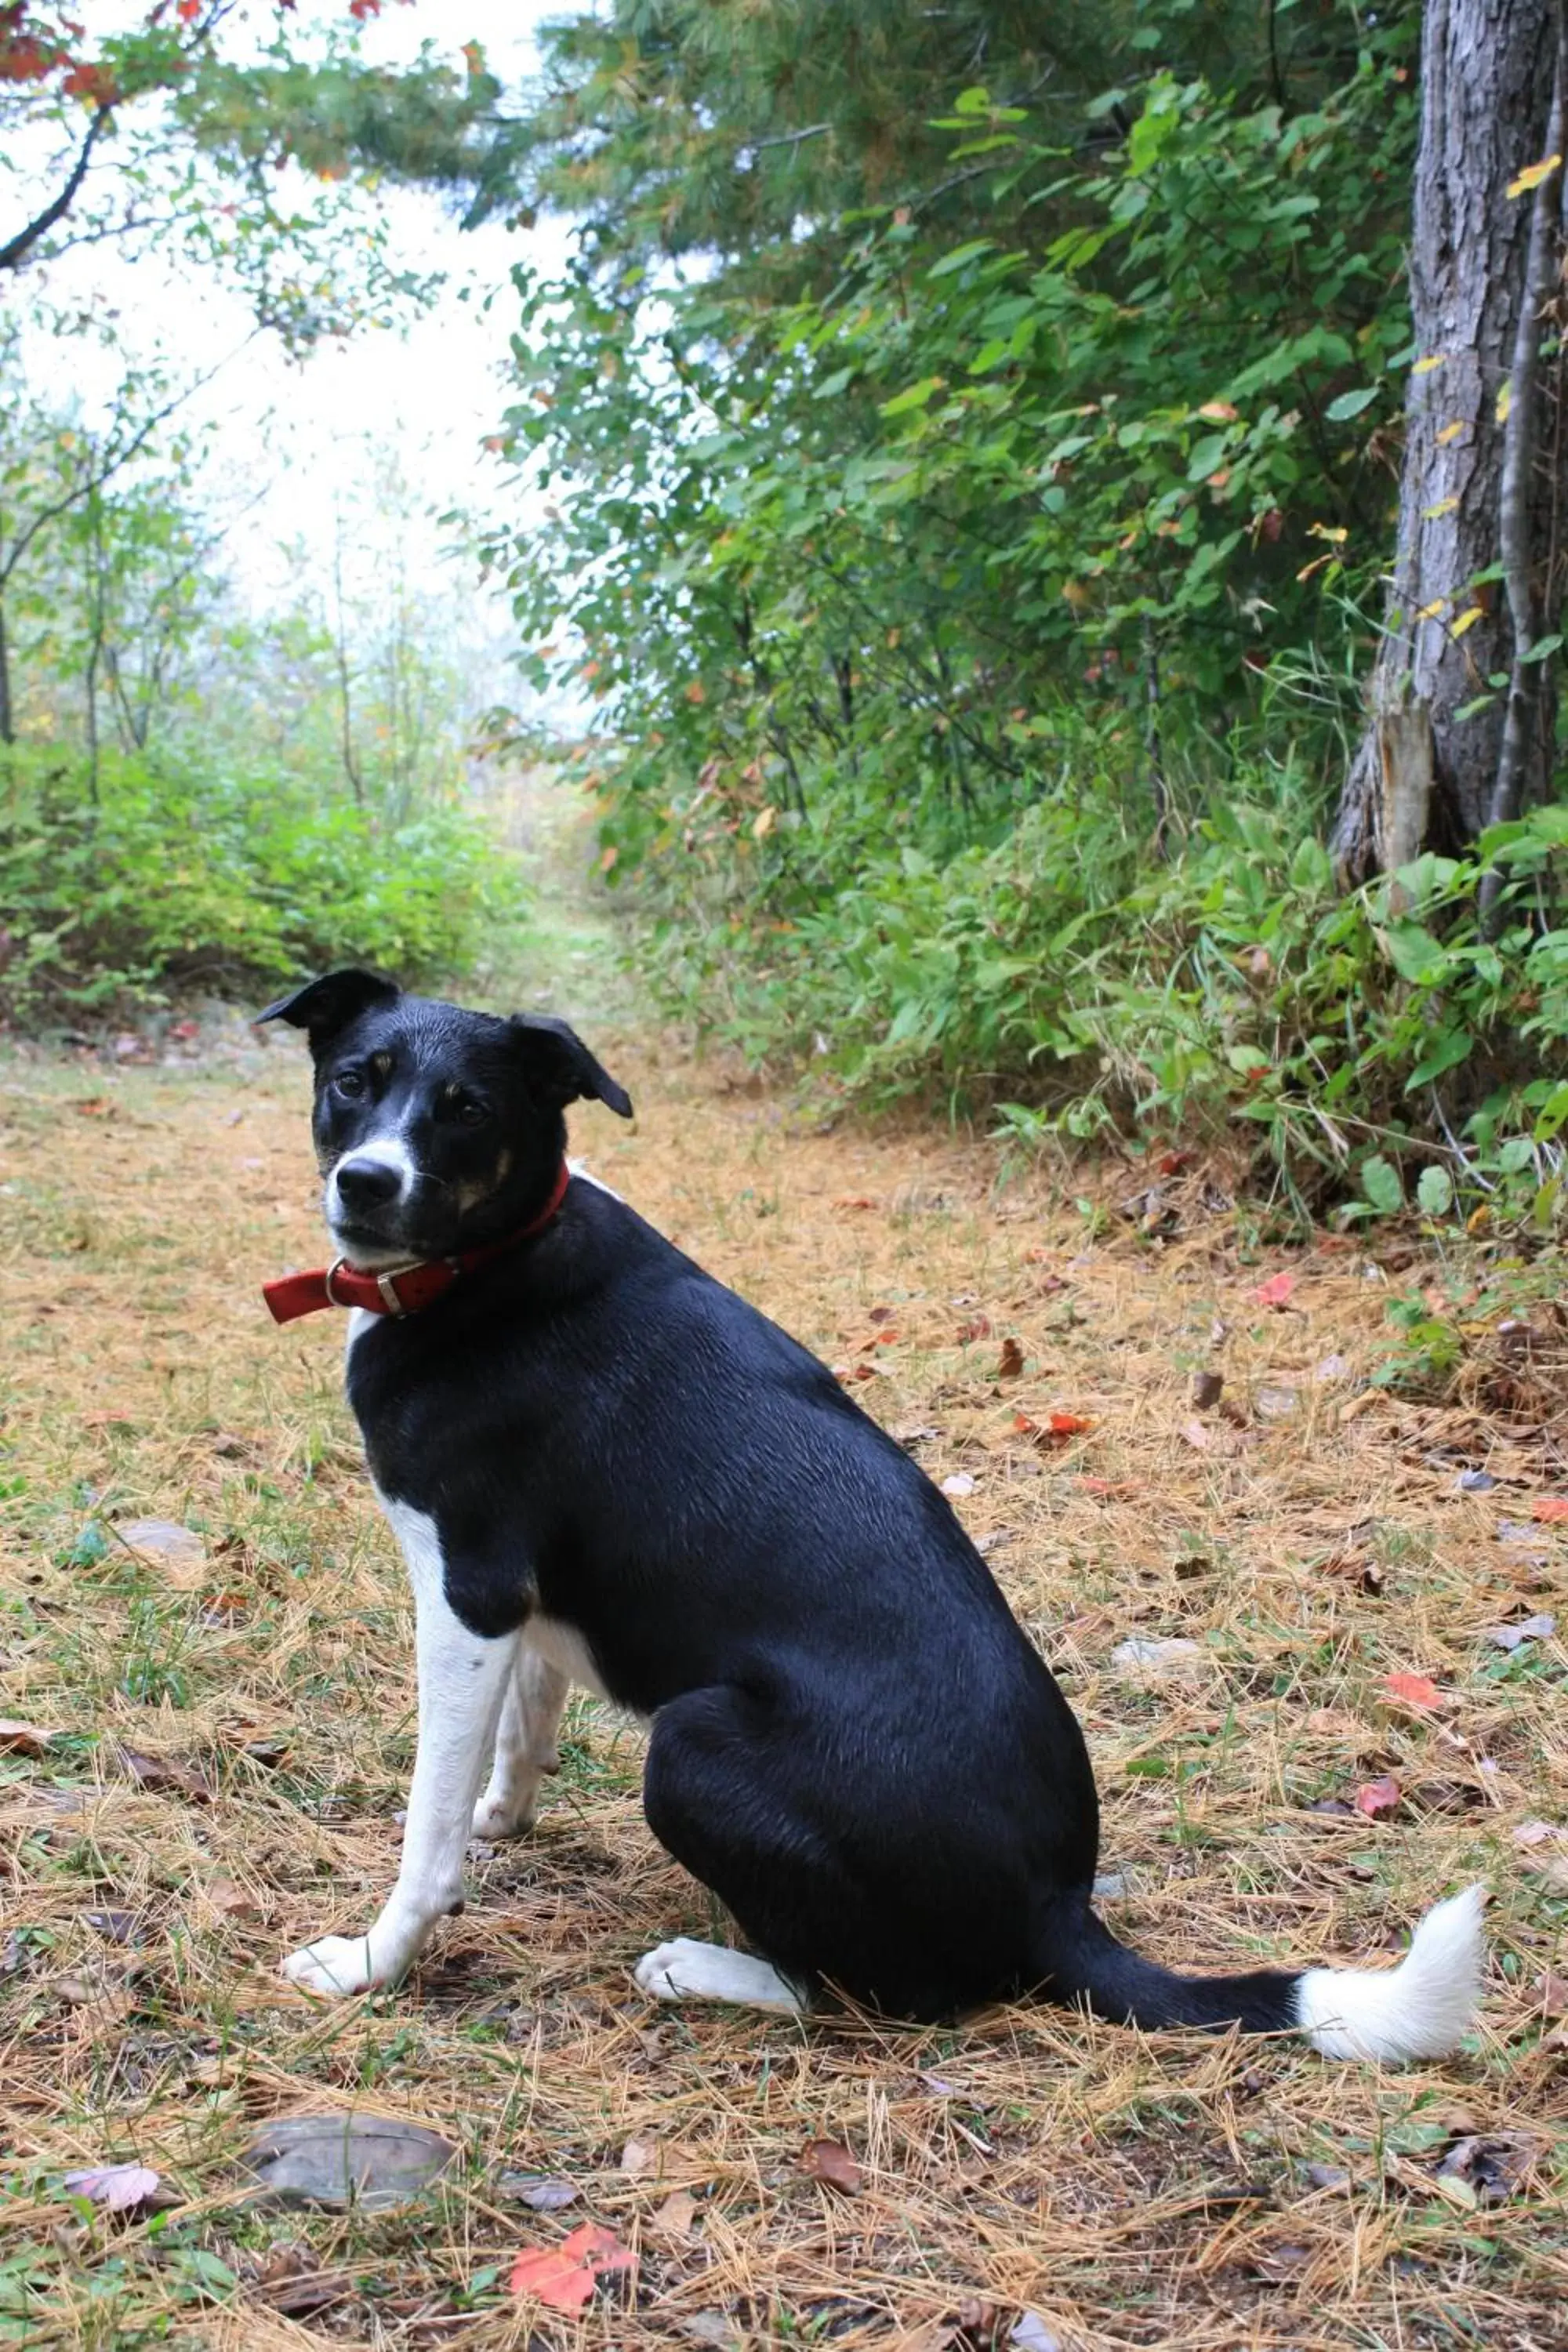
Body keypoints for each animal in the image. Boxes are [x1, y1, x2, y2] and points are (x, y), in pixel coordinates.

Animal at [257, 960, 1486, 2060]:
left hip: (693, 1741)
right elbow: (523, 1729)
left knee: (881, 1995)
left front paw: (374, 1960)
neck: (491, 1256)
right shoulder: (521, 1608)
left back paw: (703, 1969)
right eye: (354, 1082)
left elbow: (426, 1828)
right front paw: (503, 1817)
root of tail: (1058, 1906)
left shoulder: (465, 1589)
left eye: (466, 1111)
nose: (366, 1181)